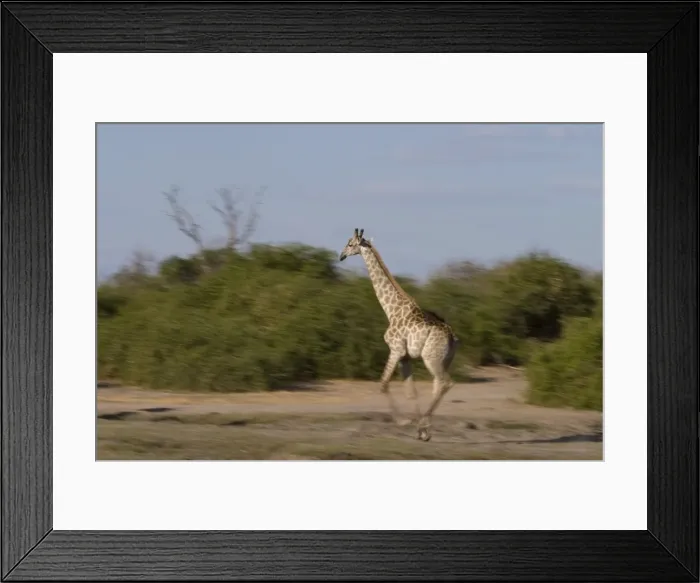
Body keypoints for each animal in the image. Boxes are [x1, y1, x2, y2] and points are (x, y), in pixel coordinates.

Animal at [338, 228, 460, 441]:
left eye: (350, 244)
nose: (341, 255)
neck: (391, 308)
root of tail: (452, 338)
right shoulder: (406, 356)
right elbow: (411, 392)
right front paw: (417, 428)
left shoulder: (395, 350)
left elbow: (383, 384)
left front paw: (403, 421)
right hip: (444, 359)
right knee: (438, 385)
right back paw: (425, 429)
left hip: (431, 358)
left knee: (446, 383)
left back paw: (424, 427)